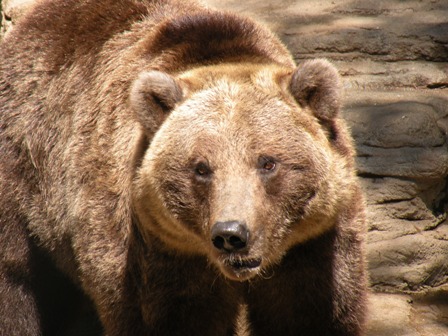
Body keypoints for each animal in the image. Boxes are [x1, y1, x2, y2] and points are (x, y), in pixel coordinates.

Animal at [0, 0, 368, 336]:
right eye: (201, 168)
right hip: (24, 170)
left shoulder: (314, 243)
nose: (231, 235)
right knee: (17, 279)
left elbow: (312, 314)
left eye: (268, 162)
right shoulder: (155, 249)